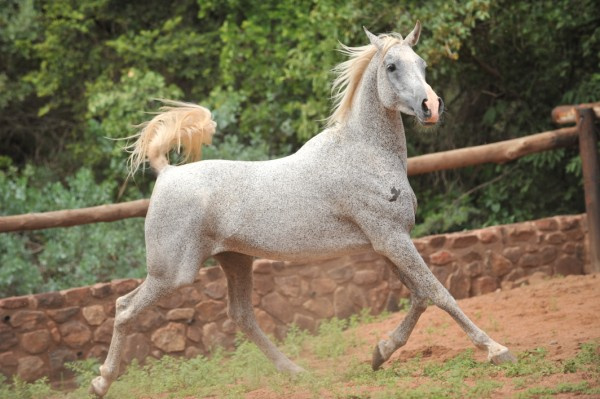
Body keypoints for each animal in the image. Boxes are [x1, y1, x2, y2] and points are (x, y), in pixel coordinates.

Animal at [89, 21, 516, 396]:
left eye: (422, 64)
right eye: (392, 66)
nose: (431, 107)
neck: (362, 154)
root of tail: (166, 173)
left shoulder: (388, 243)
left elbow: (420, 297)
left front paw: (379, 354)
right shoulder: (391, 238)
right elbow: (439, 292)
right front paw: (496, 350)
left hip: (235, 260)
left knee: (242, 316)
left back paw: (296, 372)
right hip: (172, 274)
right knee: (124, 308)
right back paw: (100, 383)